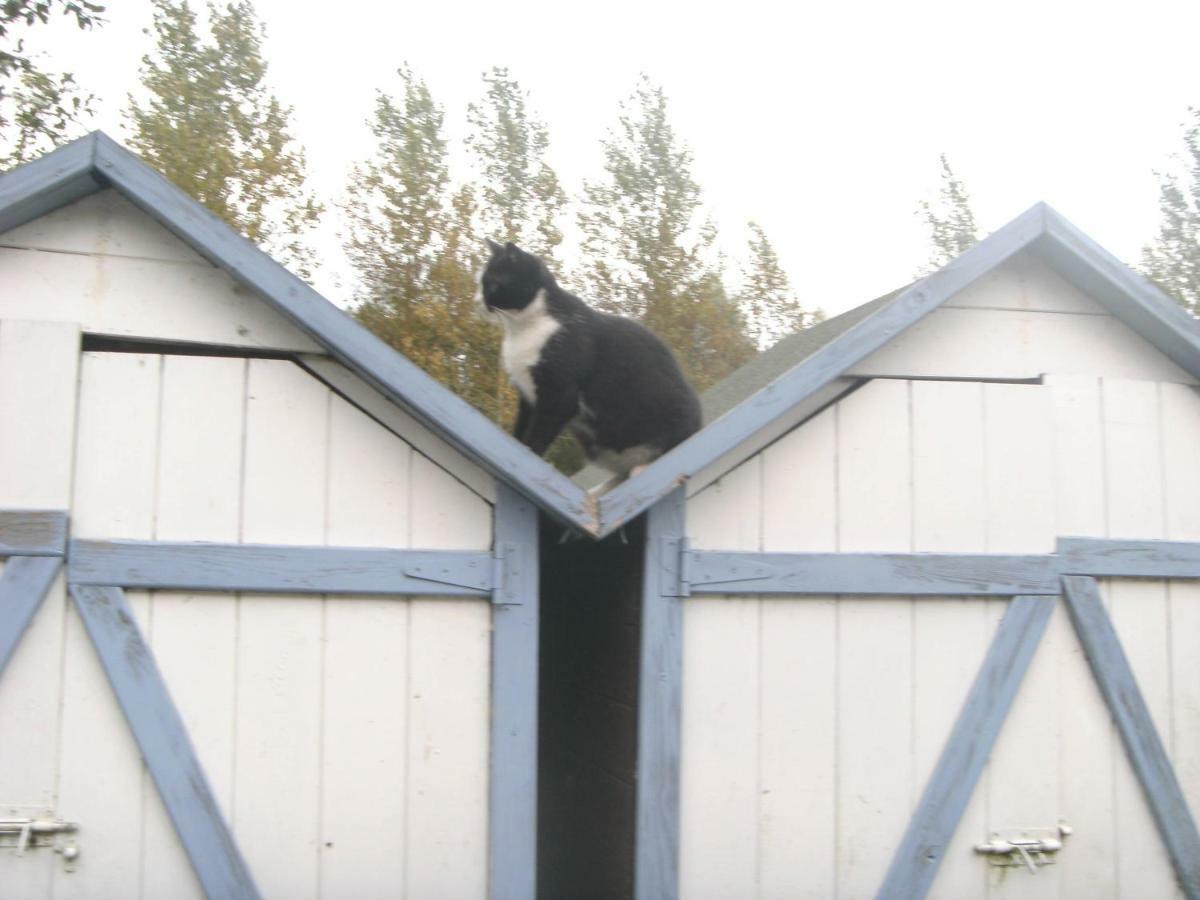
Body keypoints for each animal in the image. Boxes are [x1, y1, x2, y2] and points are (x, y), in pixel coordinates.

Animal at [477, 240, 700, 480]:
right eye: (481, 283)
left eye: (492, 284)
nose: (477, 301)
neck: (521, 330)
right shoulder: (528, 395)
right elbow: (521, 428)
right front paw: (513, 447)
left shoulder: (560, 395)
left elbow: (538, 434)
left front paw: (529, 455)